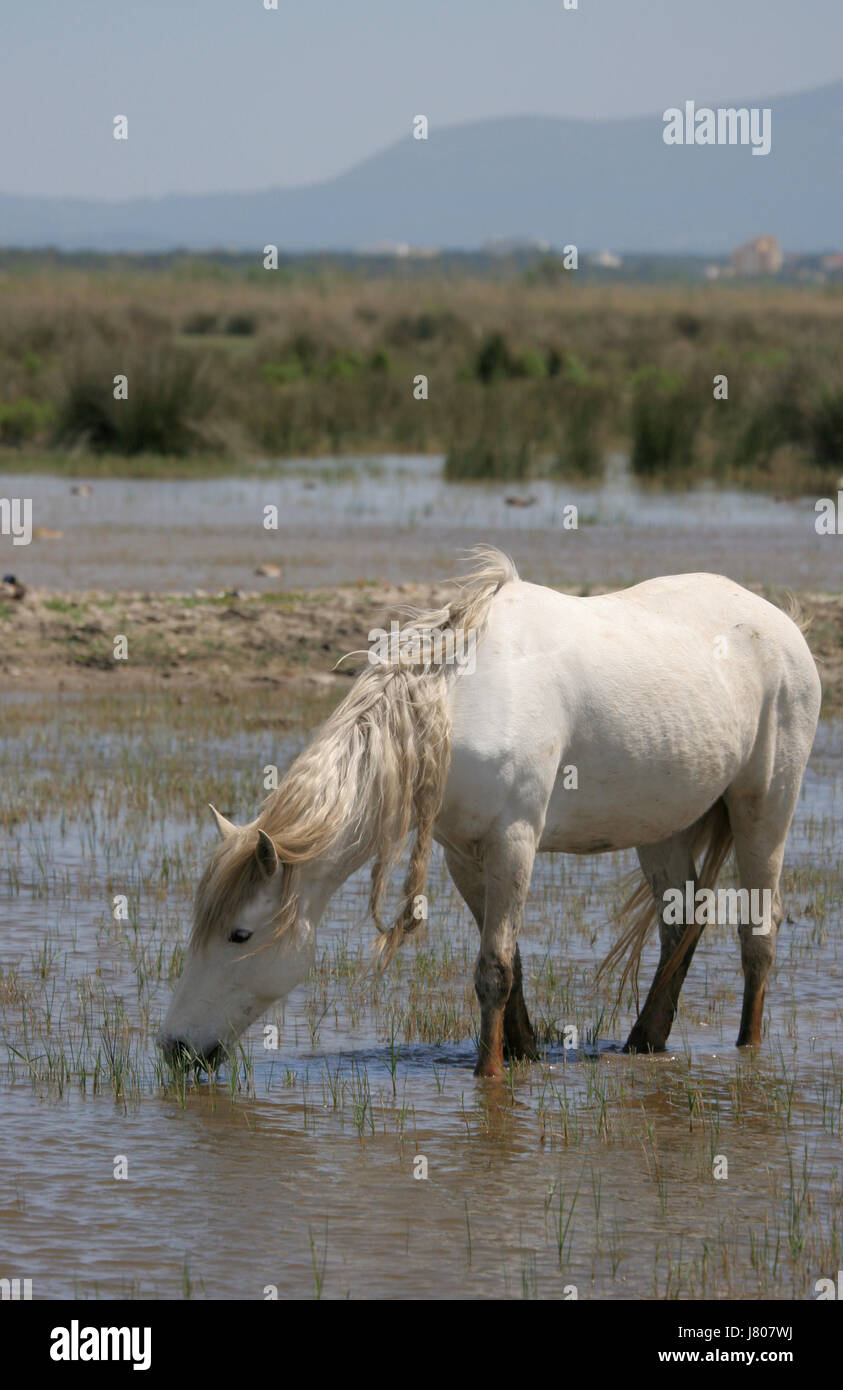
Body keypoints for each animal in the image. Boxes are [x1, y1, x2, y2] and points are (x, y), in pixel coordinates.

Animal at [162, 547, 823, 1078]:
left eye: (240, 933)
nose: (174, 1048)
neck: (457, 700)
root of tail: (783, 623)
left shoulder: (514, 840)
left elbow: (494, 970)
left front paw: (491, 1077)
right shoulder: (464, 853)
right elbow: (511, 966)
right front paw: (523, 1055)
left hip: (765, 809)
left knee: (758, 935)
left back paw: (747, 1050)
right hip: (661, 824)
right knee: (679, 921)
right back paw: (643, 1043)